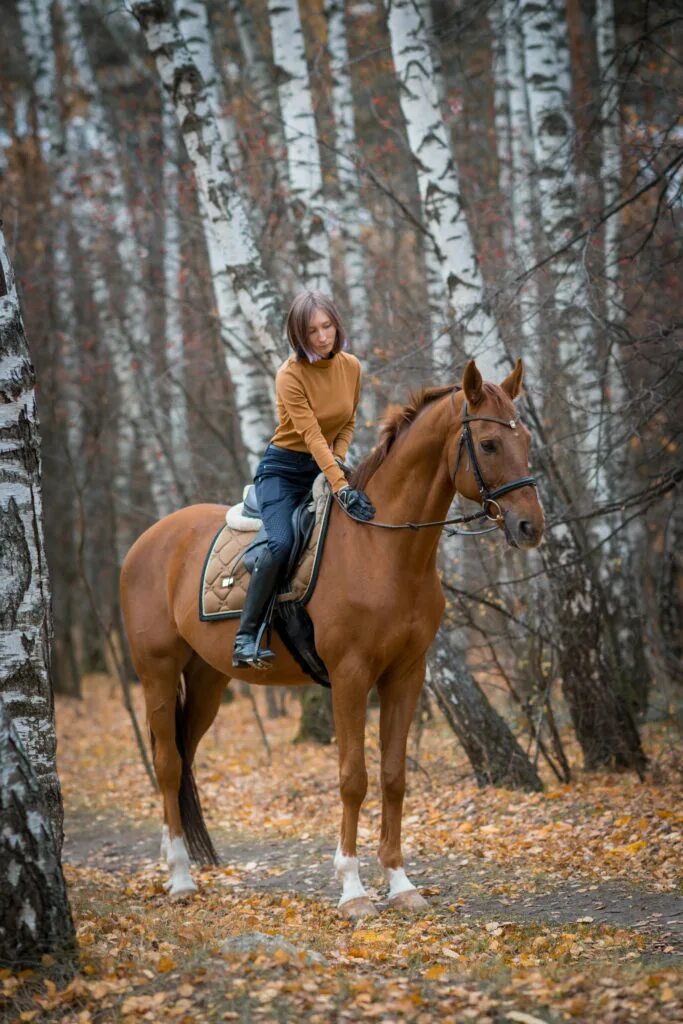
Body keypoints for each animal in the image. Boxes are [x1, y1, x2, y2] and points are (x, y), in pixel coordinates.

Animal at [118, 362, 544, 921]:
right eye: (491, 444)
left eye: (528, 440)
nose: (531, 526)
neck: (382, 547)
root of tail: (146, 541)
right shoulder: (350, 676)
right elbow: (353, 778)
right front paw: (353, 891)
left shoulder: (407, 675)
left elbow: (392, 776)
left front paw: (401, 884)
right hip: (158, 671)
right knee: (168, 765)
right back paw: (181, 878)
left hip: (208, 679)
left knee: (185, 756)